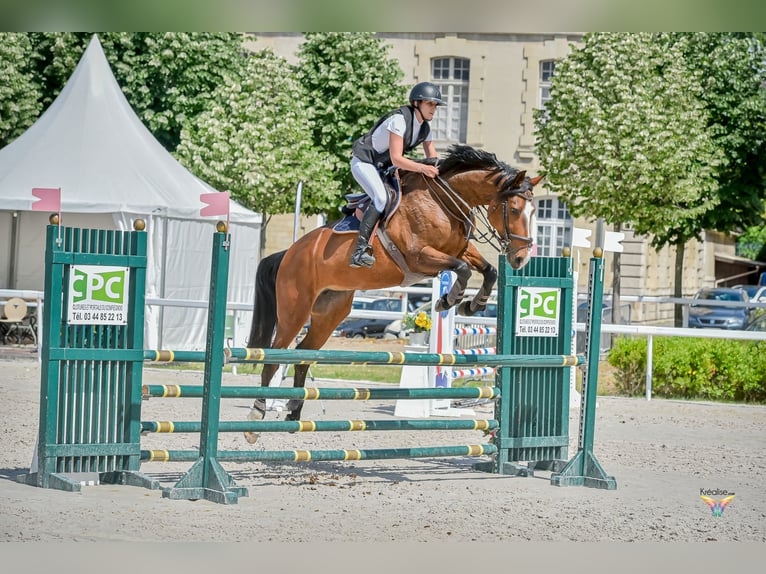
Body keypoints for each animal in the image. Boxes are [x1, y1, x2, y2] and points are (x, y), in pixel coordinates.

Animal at [244, 146, 540, 444]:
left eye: (535, 211)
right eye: (515, 209)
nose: (521, 259)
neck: (444, 201)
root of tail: (288, 254)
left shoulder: (459, 250)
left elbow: (488, 270)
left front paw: (472, 304)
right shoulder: (421, 257)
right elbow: (463, 269)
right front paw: (448, 299)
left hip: (330, 312)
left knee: (302, 354)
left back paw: (294, 411)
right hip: (295, 311)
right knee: (273, 358)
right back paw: (256, 417)